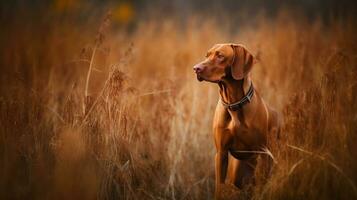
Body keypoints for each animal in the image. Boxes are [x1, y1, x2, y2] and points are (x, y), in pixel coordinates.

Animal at [193, 43, 280, 198]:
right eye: (207, 55)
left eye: (220, 55)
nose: (196, 68)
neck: (233, 103)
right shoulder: (221, 153)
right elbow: (219, 187)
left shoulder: (263, 153)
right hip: (238, 174)